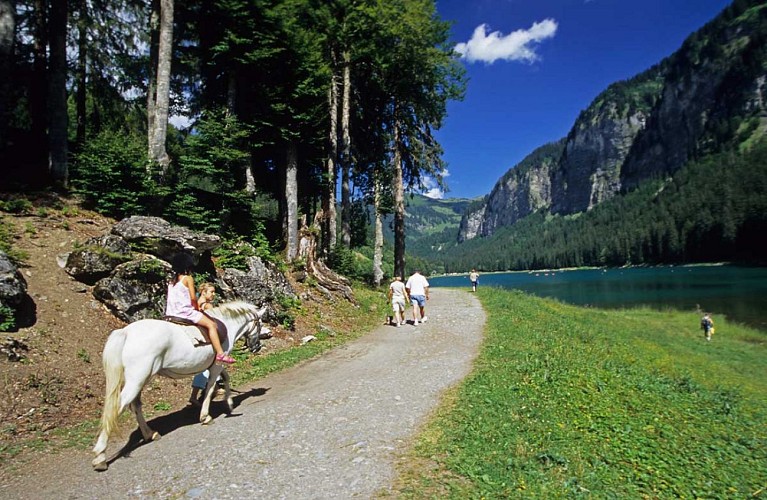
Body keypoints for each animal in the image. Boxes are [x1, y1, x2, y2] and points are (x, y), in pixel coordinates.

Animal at [91, 300, 268, 472]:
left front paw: (229, 402)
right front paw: (206, 416)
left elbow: (225, 378)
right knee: (119, 406)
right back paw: (100, 456)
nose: (257, 347)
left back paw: (150, 434)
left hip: (140, 380)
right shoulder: (217, 364)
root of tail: (126, 332)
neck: (226, 324)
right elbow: (211, 387)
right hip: (138, 379)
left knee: (135, 405)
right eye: (259, 323)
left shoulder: (215, 365)